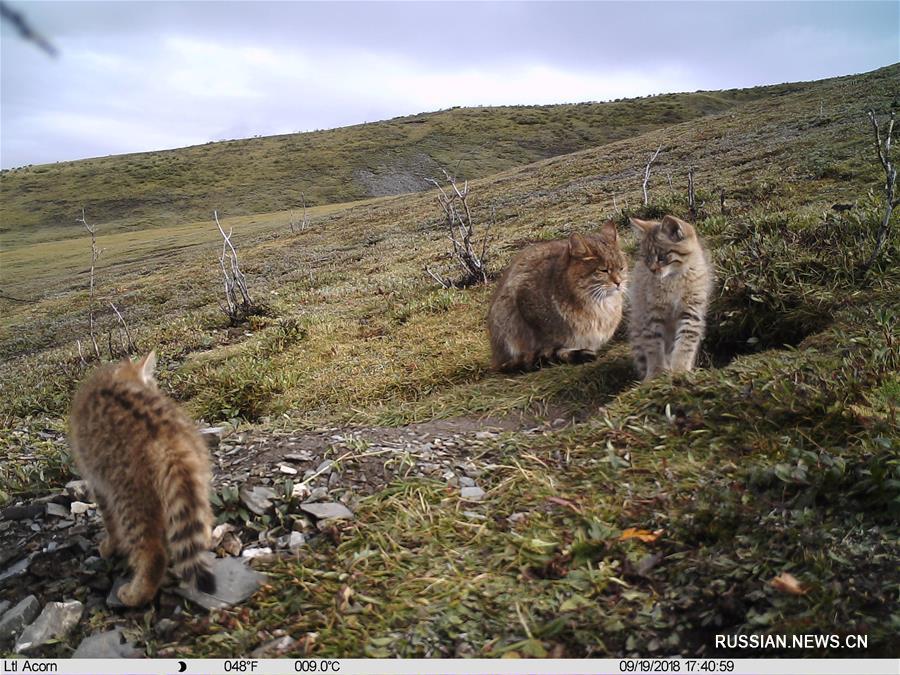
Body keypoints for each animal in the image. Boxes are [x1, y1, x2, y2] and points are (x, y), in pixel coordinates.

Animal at [68, 354, 216, 608]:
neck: (117, 375)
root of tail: (167, 436)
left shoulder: (99, 483)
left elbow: (109, 522)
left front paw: (110, 545)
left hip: (128, 497)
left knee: (152, 552)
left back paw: (136, 593)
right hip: (195, 481)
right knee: (201, 521)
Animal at [488, 220, 628, 370]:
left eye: (621, 268)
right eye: (603, 270)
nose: (619, 282)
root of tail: (495, 356)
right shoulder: (524, 297)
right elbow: (549, 343)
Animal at [628, 215, 712, 380]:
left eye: (661, 257)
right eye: (647, 258)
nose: (652, 270)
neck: (673, 279)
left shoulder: (691, 312)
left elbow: (685, 344)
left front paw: (680, 370)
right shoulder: (652, 315)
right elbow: (654, 347)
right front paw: (657, 374)